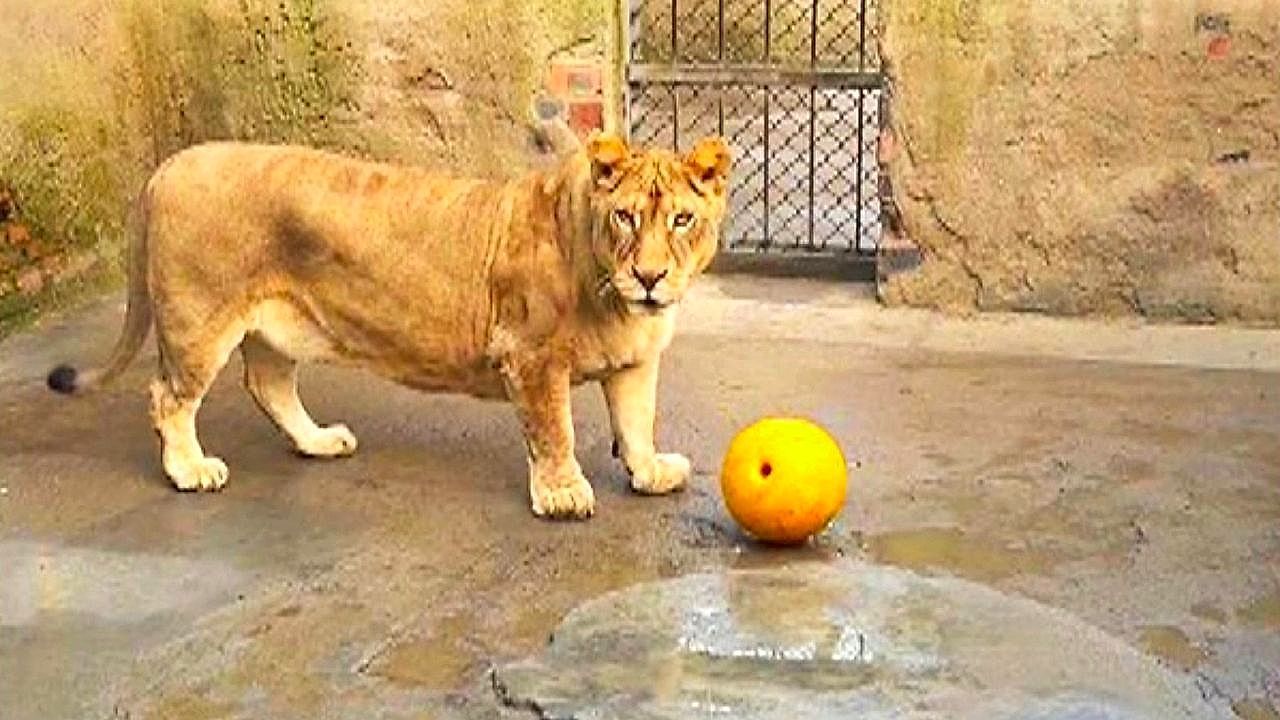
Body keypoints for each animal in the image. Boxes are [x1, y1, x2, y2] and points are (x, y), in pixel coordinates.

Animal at [46, 122, 732, 519]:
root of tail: (166, 166)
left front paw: (650, 472)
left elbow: (638, 423)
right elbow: (553, 431)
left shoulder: (637, 363)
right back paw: (191, 471)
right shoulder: (529, 356)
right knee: (167, 396)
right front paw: (563, 494)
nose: (650, 277)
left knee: (267, 385)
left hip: (276, 328)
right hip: (200, 321)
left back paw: (319, 441)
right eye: (626, 216)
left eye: (681, 219)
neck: (617, 300)